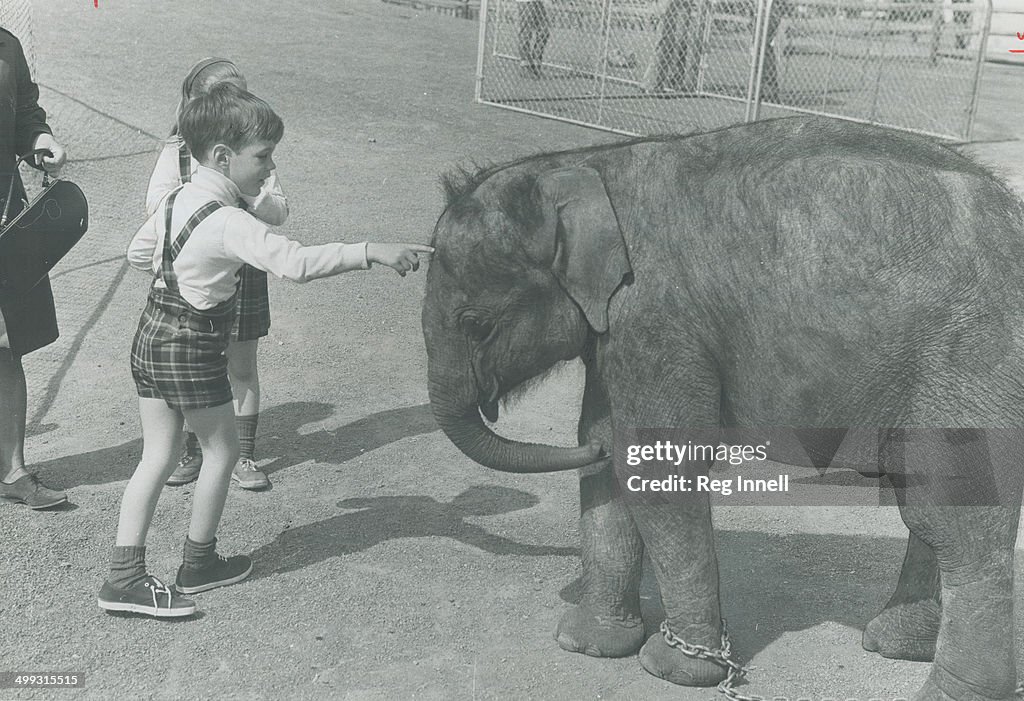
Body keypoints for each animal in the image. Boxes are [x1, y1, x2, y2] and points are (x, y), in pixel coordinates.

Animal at [419, 117, 1024, 695]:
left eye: (476, 324)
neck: (584, 166)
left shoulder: (656, 315)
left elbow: (657, 467)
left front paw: (674, 670)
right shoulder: (618, 331)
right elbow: (611, 452)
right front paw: (588, 645)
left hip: (972, 358)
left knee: (951, 516)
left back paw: (947, 690)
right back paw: (894, 644)